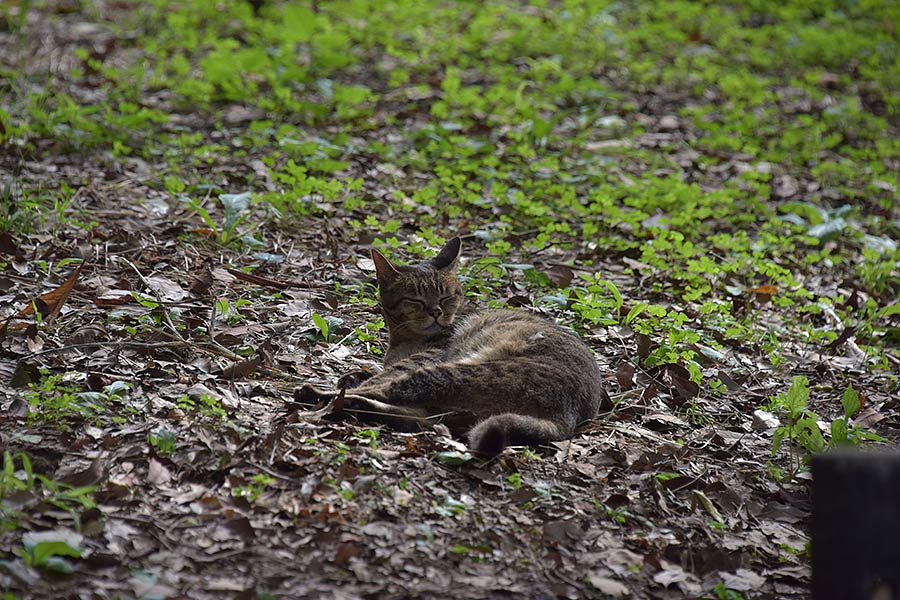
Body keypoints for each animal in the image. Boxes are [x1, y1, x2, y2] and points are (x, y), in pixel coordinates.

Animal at [298, 237, 608, 458]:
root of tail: (568, 415)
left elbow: (378, 377)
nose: (436, 312)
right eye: (416, 300)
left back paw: (320, 396)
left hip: (454, 373)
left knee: (388, 393)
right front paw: (351, 375)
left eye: (446, 297)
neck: (401, 339)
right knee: (419, 417)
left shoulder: (423, 358)